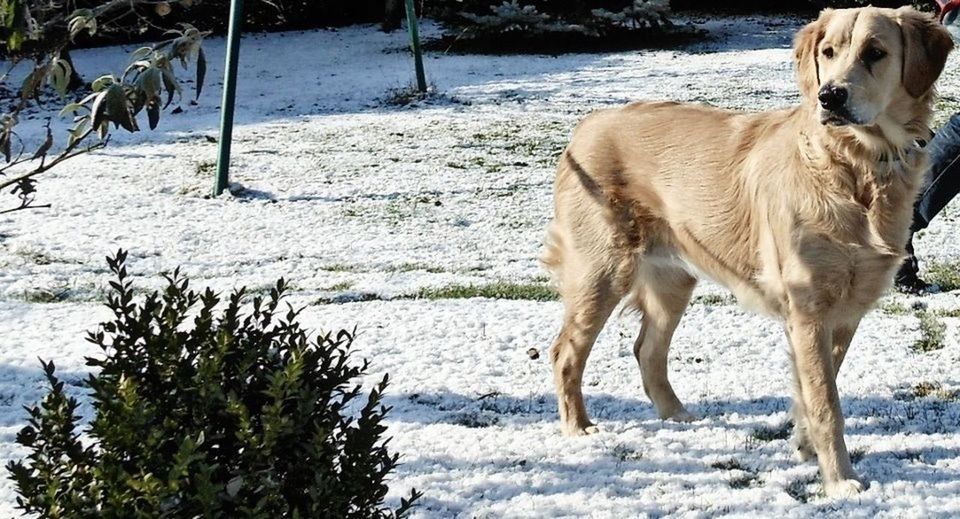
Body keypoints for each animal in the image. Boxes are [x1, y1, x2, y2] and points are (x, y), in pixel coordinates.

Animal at [540, 6, 952, 498]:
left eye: (875, 53)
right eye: (828, 52)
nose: (830, 97)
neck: (858, 166)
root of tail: (586, 125)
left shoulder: (844, 311)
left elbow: (815, 390)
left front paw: (806, 448)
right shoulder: (809, 308)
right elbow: (826, 403)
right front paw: (840, 480)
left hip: (673, 281)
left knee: (647, 350)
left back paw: (677, 416)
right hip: (602, 272)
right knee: (565, 351)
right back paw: (578, 427)